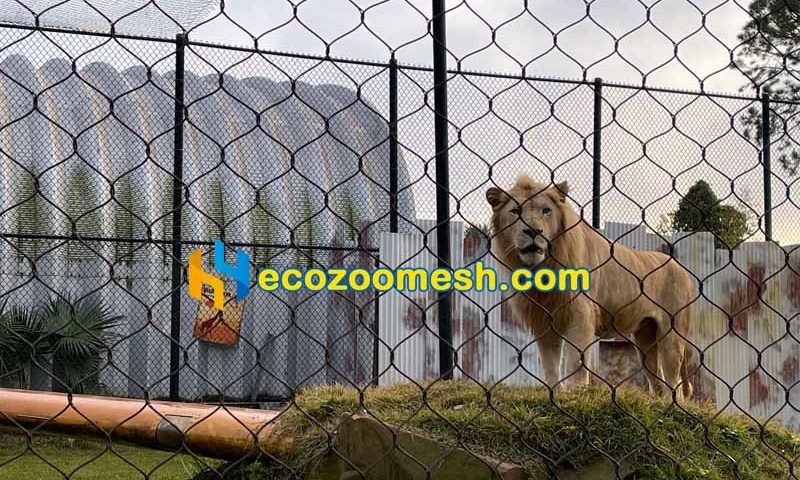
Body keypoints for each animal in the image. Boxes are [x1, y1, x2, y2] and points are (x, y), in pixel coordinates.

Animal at [487, 174, 695, 400]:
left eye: (546, 211)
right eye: (515, 212)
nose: (533, 230)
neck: (543, 268)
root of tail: (679, 267)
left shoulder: (580, 315)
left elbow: (575, 360)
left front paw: (575, 392)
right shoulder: (544, 321)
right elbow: (550, 364)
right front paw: (554, 392)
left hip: (671, 335)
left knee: (674, 381)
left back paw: (672, 402)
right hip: (644, 340)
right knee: (656, 378)